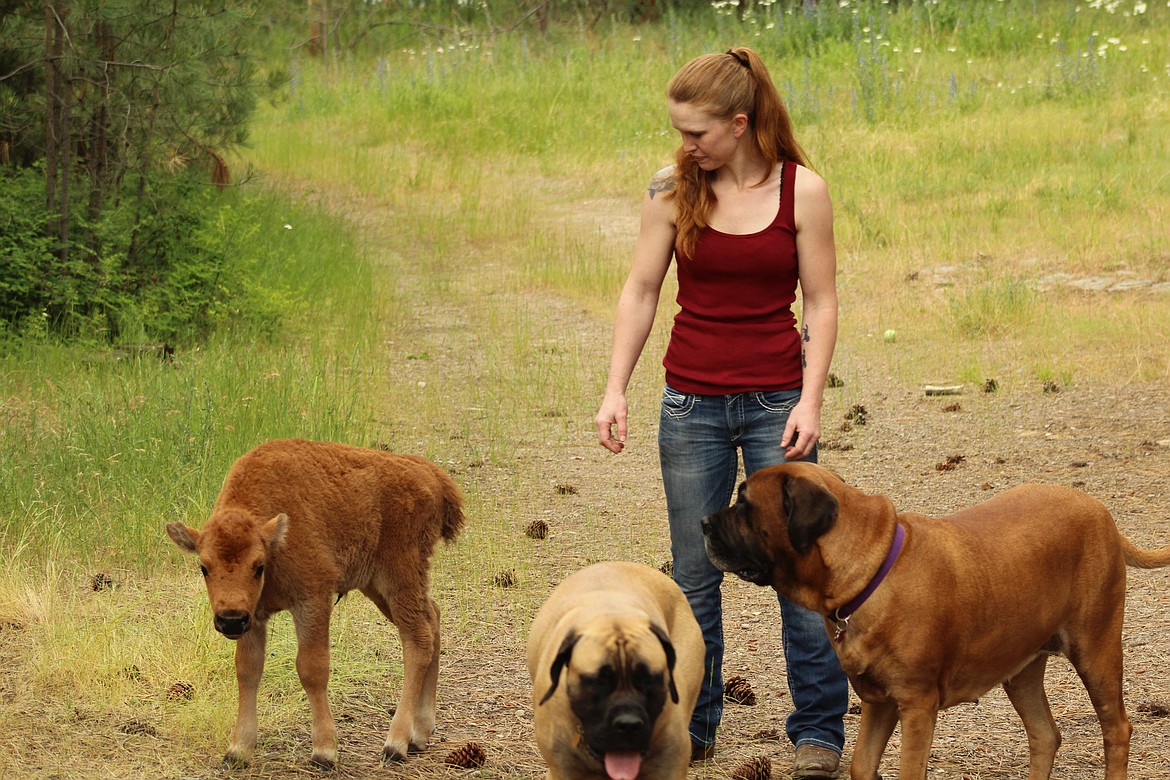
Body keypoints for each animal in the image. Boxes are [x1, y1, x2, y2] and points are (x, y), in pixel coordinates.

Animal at [167, 439, 463, 767]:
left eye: (258, 566)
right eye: (203, 567)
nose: (230, 619)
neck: (275, 542)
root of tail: (431, 474)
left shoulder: (313, 600)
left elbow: (311, 668)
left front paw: (324, 751)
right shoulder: (254, 617)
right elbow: (247, 670)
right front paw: (238, 749)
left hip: (399, 576)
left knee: (417, 639)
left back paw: (396, 743)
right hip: (378, 586)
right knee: (432, 617)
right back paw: (420, 733)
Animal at [697, 463, 1170, 780]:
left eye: (745, 505)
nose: (702, 521)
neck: (870, 573)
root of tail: (1101, 511)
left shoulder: (916, 706)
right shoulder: (878, 702)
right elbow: (861, 765)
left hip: (1096, 650)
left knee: (1116, 728)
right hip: (1021, 669)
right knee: (1045, 735)